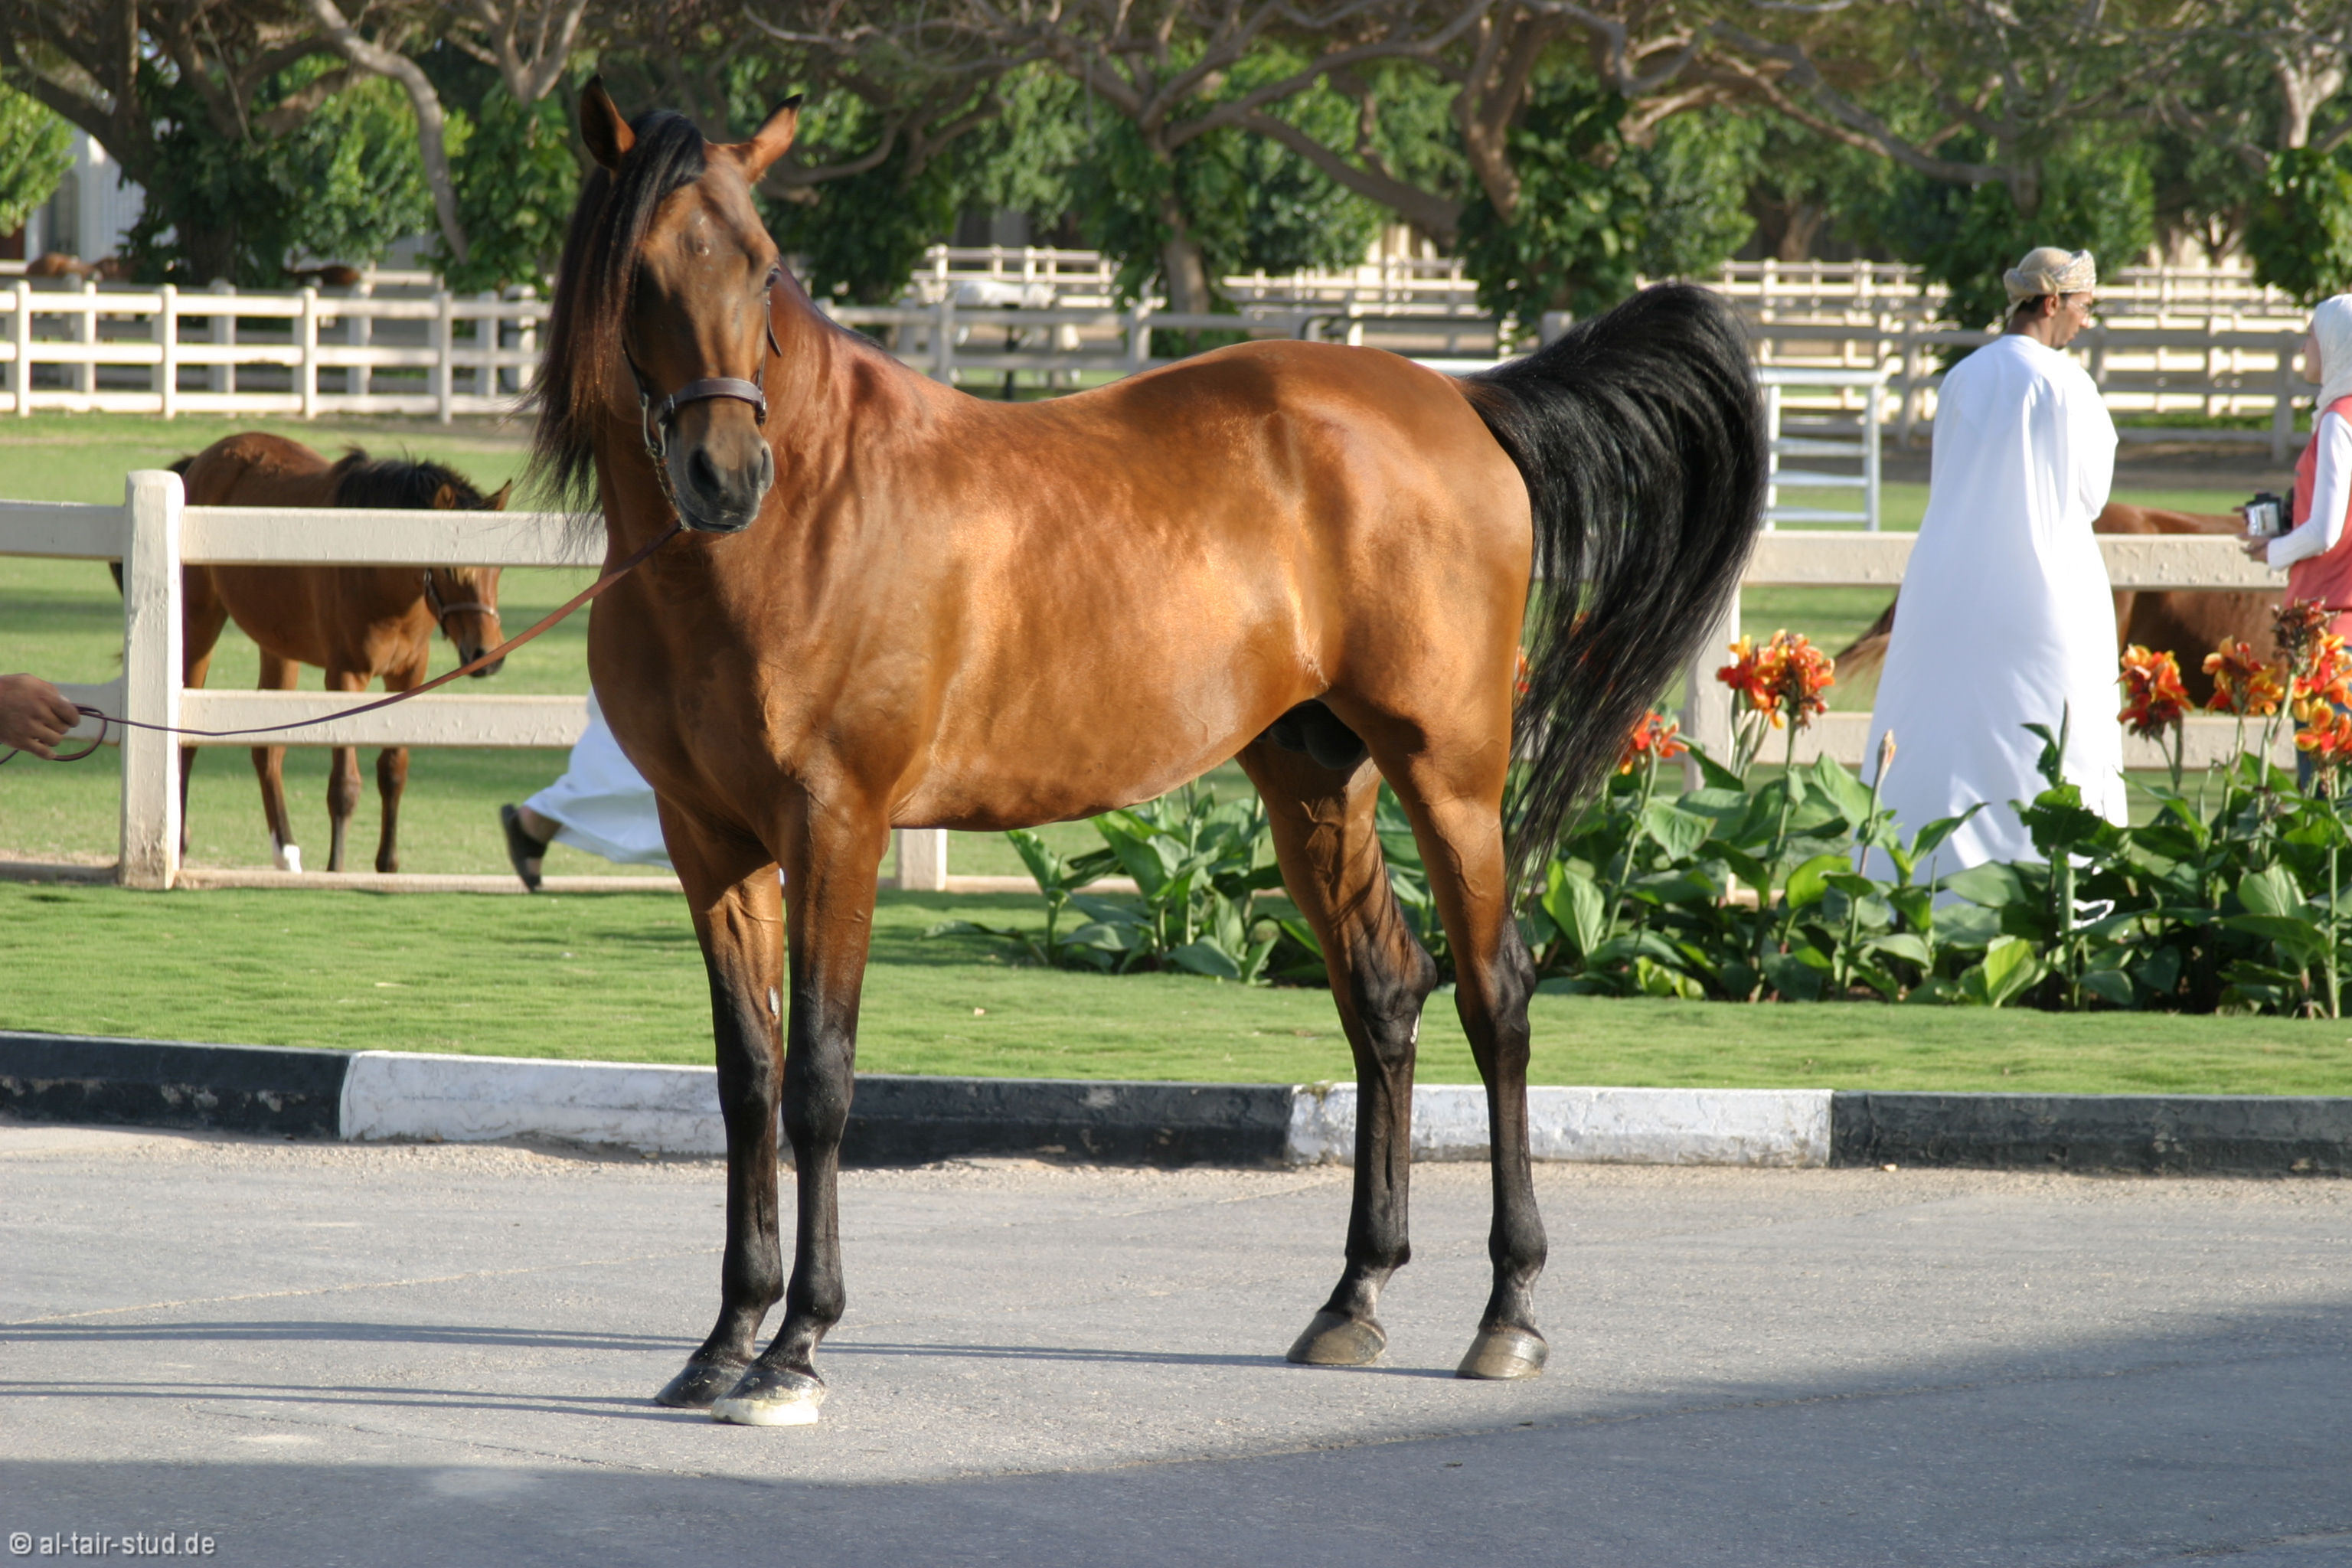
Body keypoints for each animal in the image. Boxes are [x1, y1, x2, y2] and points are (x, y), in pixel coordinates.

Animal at [169, 434, 511, 874]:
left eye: (498, 568)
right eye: (452, 569)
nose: (488, 654)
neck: (379, 576)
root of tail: (207, 457)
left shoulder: (408, 676)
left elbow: (393, 771)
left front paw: (387, 864)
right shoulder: (345, 677)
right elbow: (345, 785)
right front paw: (336, 868)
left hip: (278, 647)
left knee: (267, 751)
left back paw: (286, 852)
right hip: (200, 624)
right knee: (189, 740)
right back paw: (180, 844)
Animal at [529, 82, 1764, 1426]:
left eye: (761, 268)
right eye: (643, 270)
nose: (725, 476)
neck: (791, 528)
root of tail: (1460, 404)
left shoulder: (836, 827)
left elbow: (818, 1079)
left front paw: (796, 1346)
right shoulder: (708, 840)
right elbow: (746, 1081)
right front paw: (722, 1340)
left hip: (1448, 774)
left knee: (1498, 996)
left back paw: (1510, 1312)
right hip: (1313, 777)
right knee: (1385, 992)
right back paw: (1353, 1299)